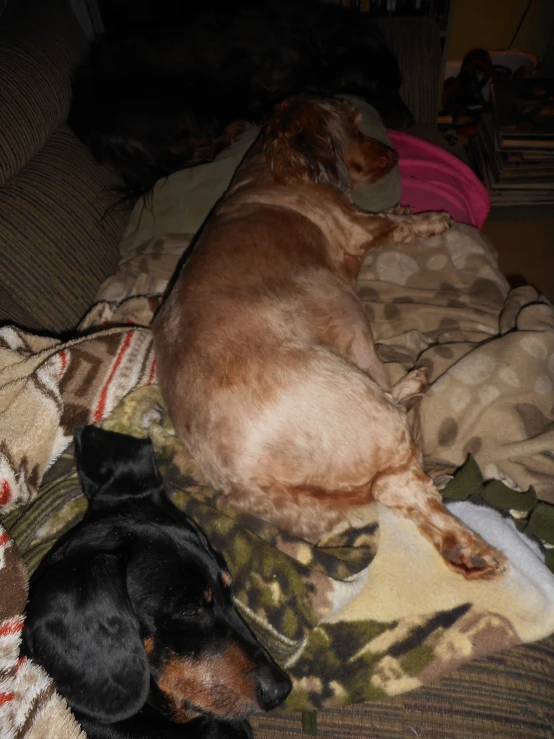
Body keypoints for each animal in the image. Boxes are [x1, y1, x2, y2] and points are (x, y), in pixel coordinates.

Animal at [69, 0, 410, 197]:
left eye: (397, 84)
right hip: (177, 104)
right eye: (382, 88)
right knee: (199, 150)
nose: (411, 119)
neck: (313, 40)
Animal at [151, 97, 504, 584]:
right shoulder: (356, 224)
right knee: (400, 482)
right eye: (353, 125)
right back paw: (474, 545)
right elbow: (391, 225)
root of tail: (240, 478)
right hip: (366, 405)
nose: (395, 154)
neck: (273, 172)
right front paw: (431, 220)